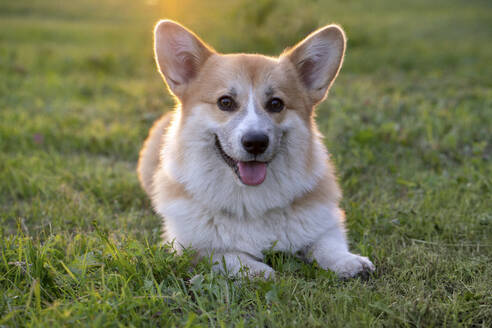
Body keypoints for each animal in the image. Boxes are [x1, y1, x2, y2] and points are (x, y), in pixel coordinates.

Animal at [136, 19, 374, 278]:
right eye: (225, 102)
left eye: (276, 104)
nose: (256, 142)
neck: (250, 201)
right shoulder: (190, 247)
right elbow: (228, 255)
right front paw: (260, 271)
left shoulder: (326, 222)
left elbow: (326, 244)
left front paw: (349, 261)